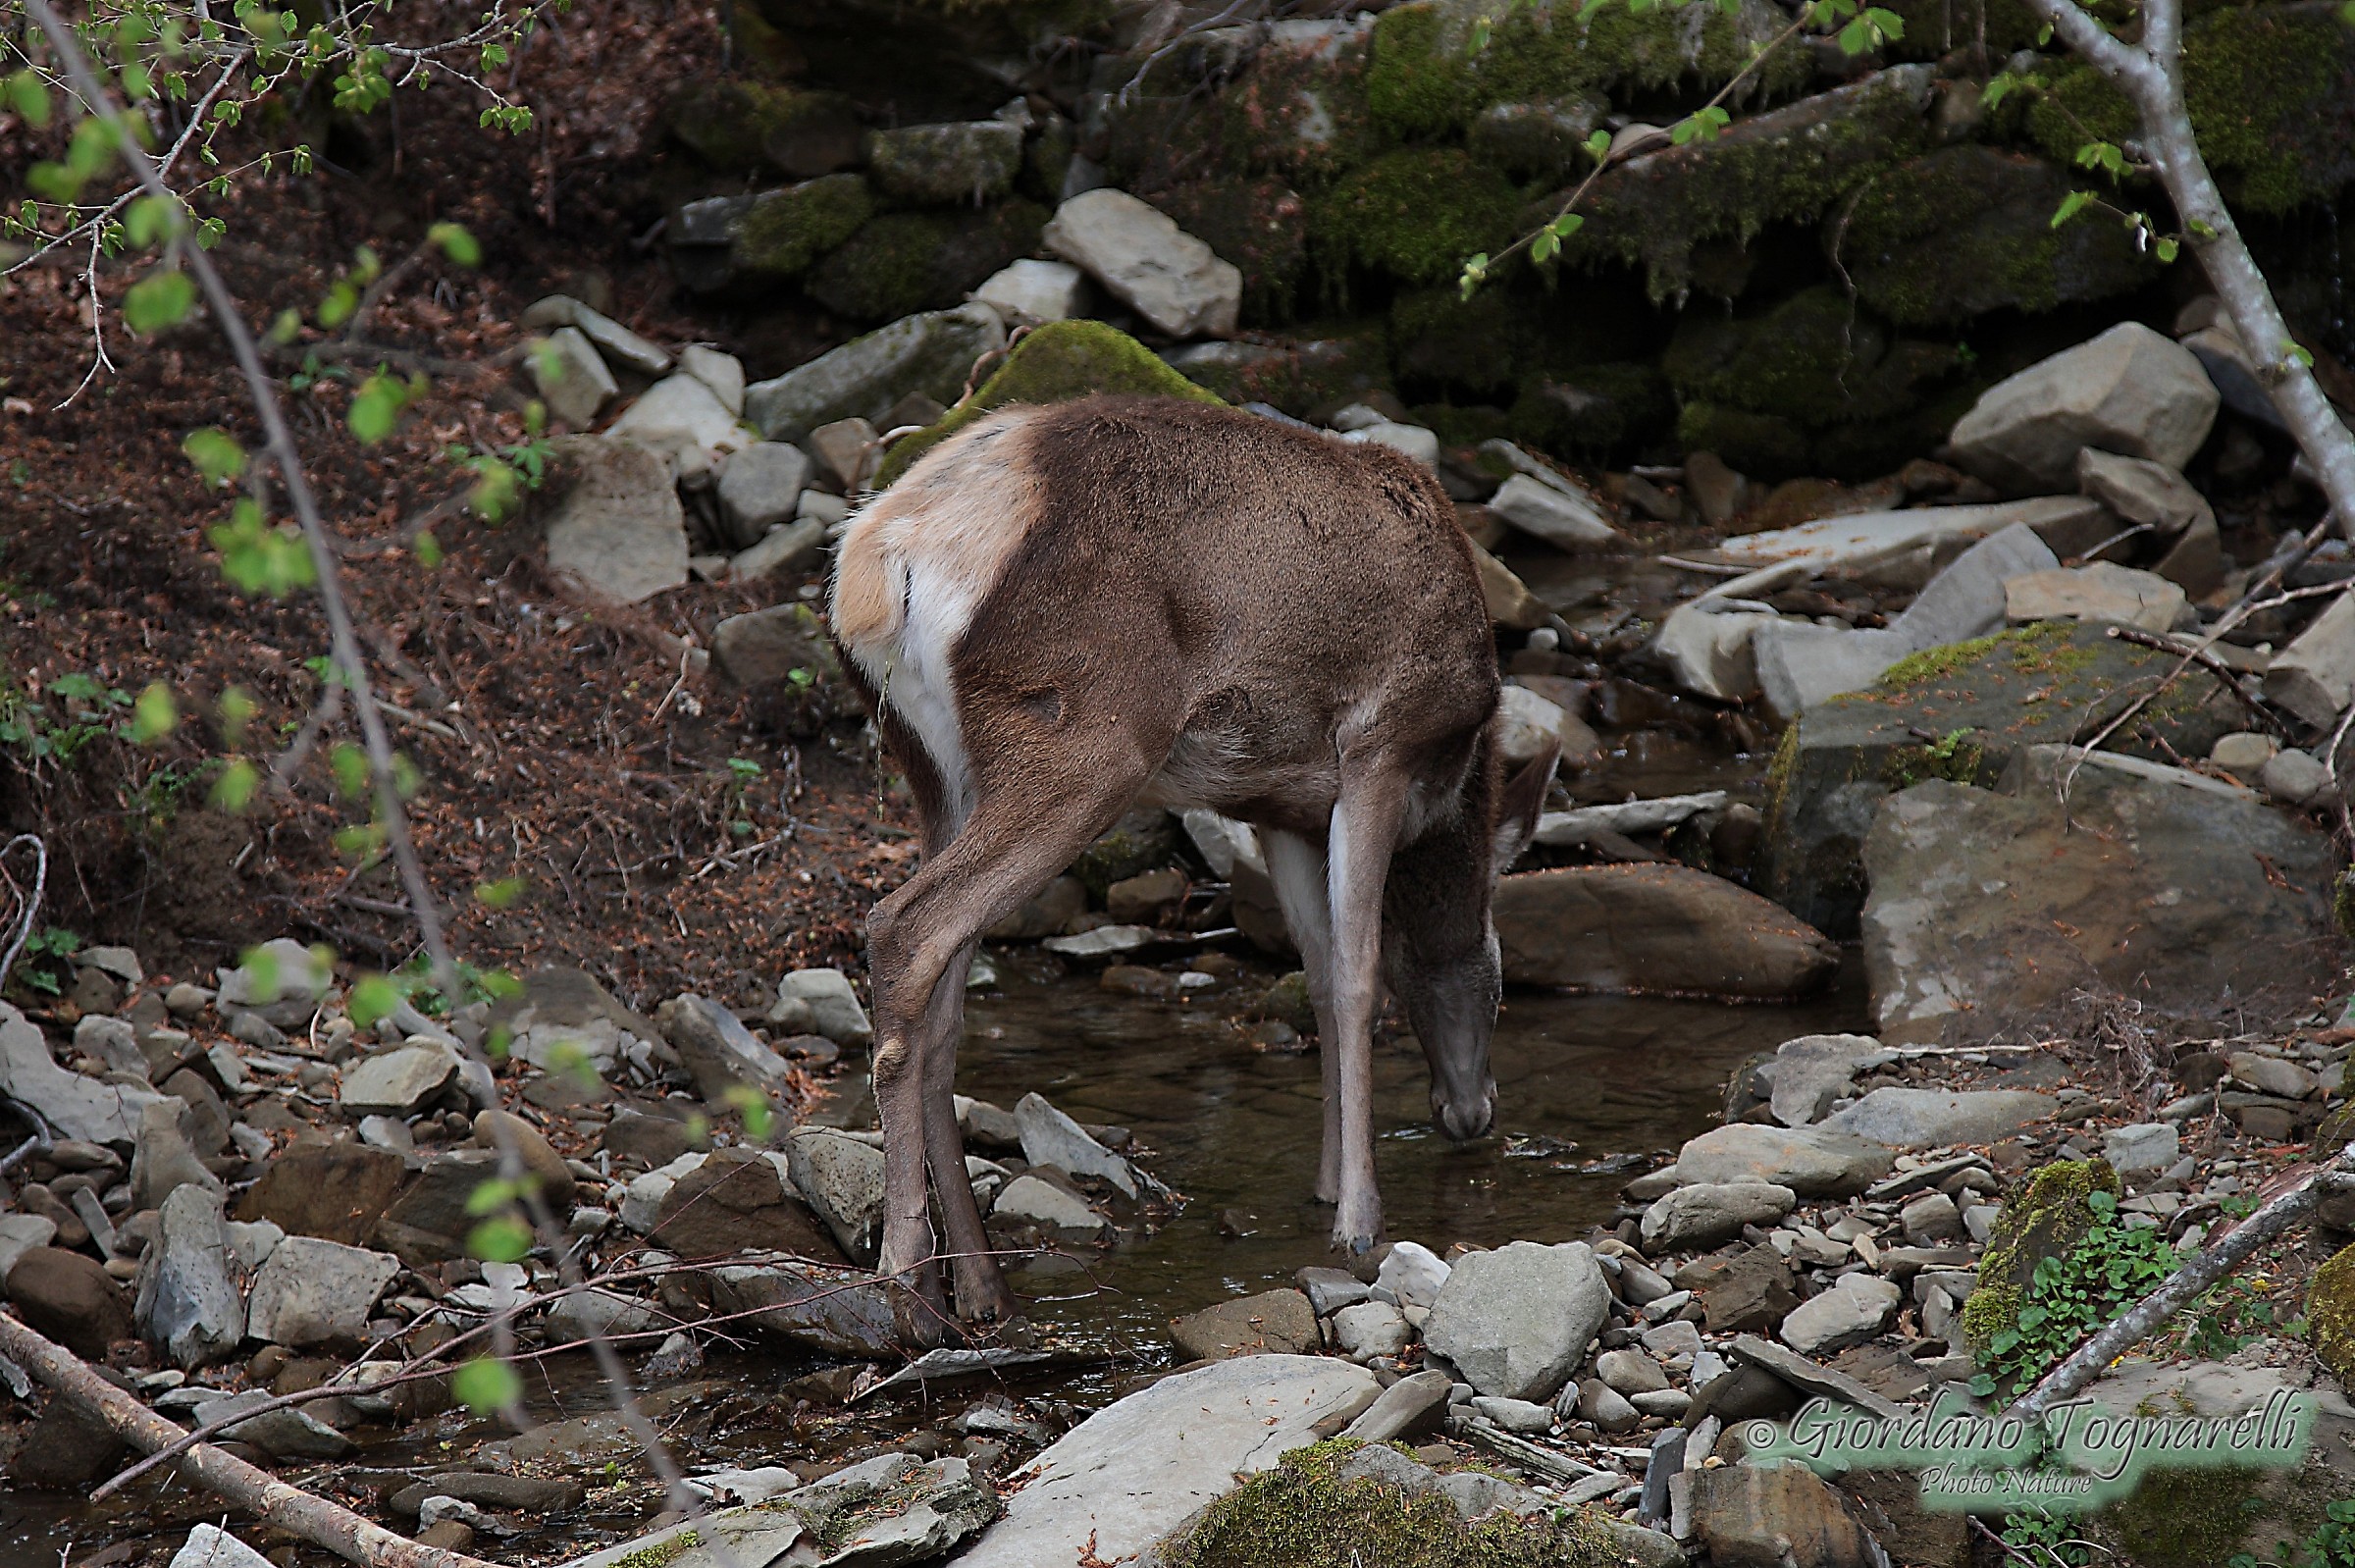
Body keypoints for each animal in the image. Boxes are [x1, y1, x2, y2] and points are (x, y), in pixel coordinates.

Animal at [828, 394, 1558, 1327]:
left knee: (945, 1000)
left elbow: (1319, 973)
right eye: (1501, 967)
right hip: (1085, 740)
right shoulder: (1380, 743)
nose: (1473, 1113)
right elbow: (1359, 973)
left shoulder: (1284, 806)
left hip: (934, 767)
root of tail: (878, 563)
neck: (1452, 773)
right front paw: (1360, 1221)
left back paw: (982, 1285)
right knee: (906, 926)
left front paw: (1327, 1186)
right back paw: (910, 1282)